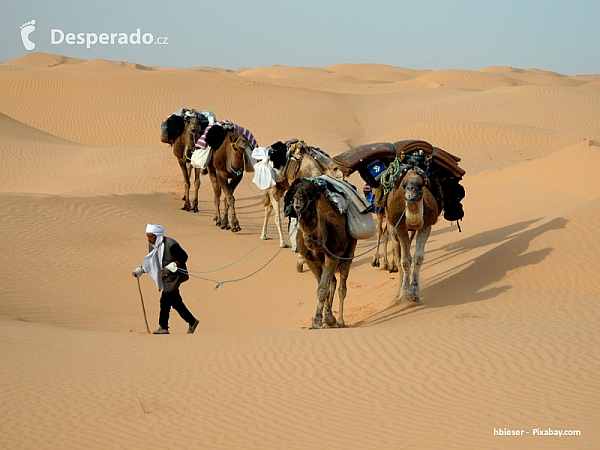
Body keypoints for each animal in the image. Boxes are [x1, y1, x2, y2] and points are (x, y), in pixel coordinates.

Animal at [286, 178, 356, 328]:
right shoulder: (309, 259)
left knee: (342, 286)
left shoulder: (333, 255)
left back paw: (341, 321)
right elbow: (322, 288)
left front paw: (319, 322)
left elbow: (323, 289)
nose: (298, 198)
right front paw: (327, 319)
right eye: (295, 191)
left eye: (310, 193)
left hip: (349, 250)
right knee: (333, 281)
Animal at [384, 166, 440, 302]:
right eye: (404, 185)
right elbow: (404, 260)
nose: (410, 189)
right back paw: (398, 292)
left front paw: (413, 292)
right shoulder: (400, 226)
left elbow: (418, 257)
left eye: (420, 184)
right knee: (398, 256)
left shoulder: (426, 225)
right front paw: (404, 292)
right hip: (392, 227)